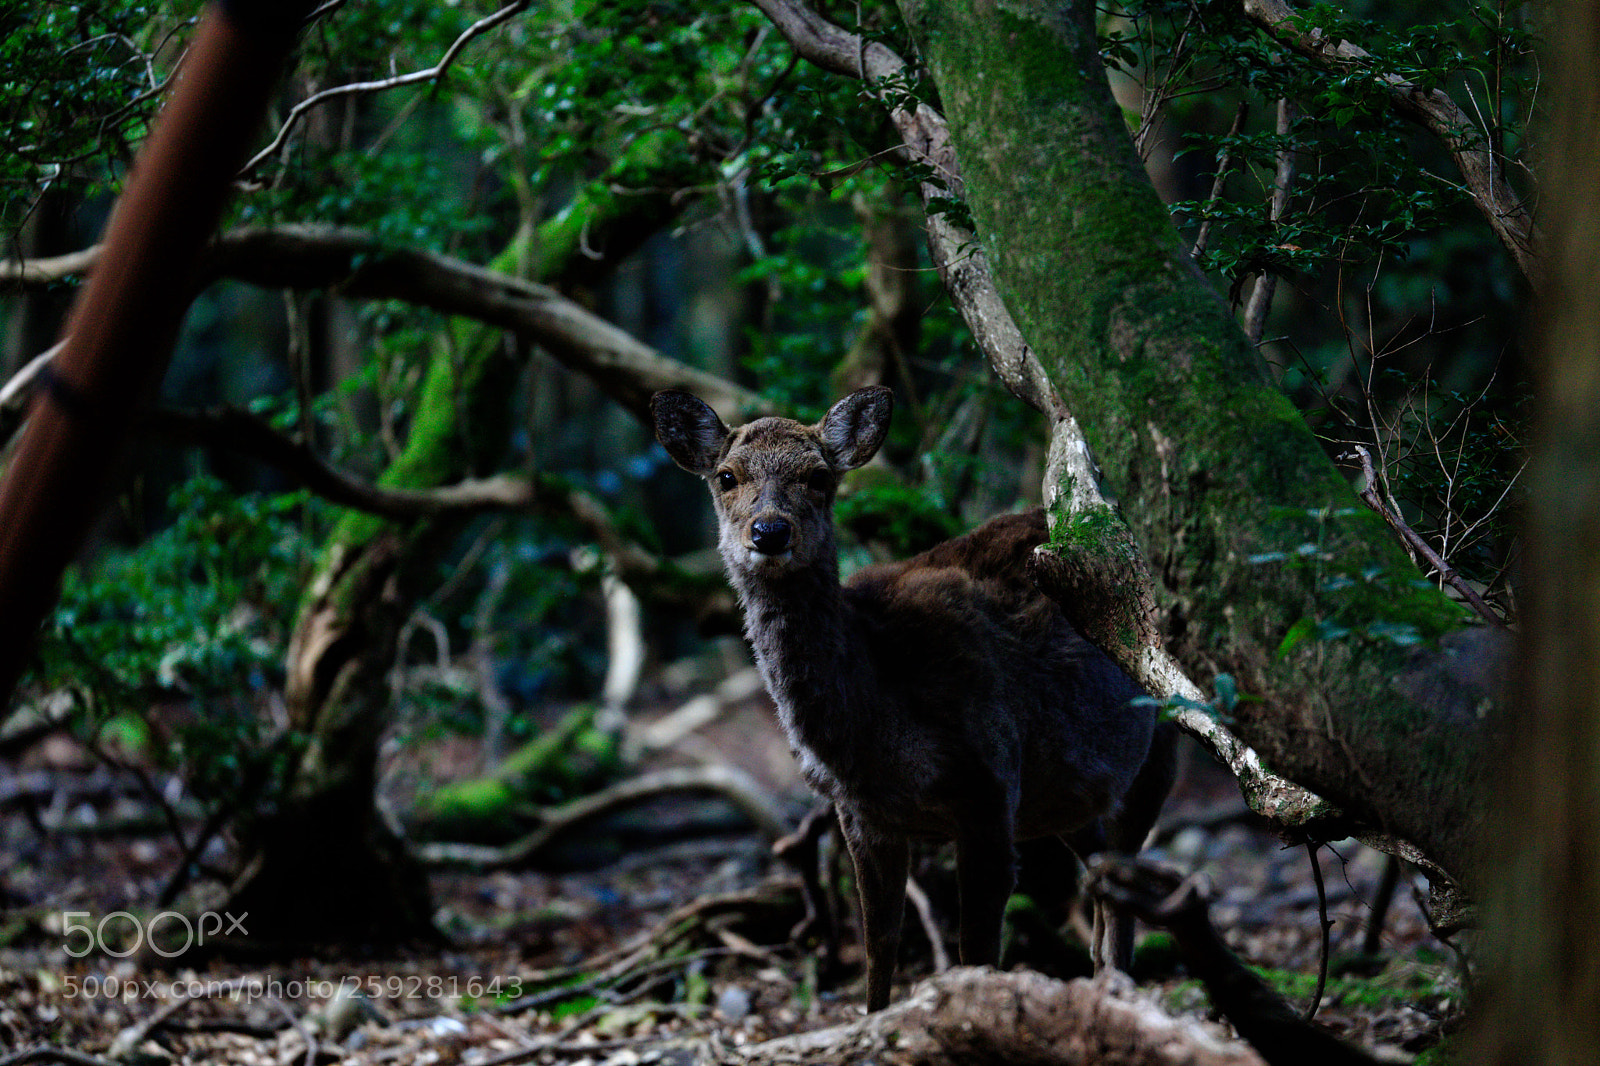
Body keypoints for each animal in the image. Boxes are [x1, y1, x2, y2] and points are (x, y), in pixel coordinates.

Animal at [651, 385, 1177, 1011]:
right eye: (727, 476)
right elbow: (879, 948)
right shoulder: (860, 816)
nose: (769, 532)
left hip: (1162, 745)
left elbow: (978, 955)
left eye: (819, 477)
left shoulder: (991, 786)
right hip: (1068, 796)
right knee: (1102, 885)